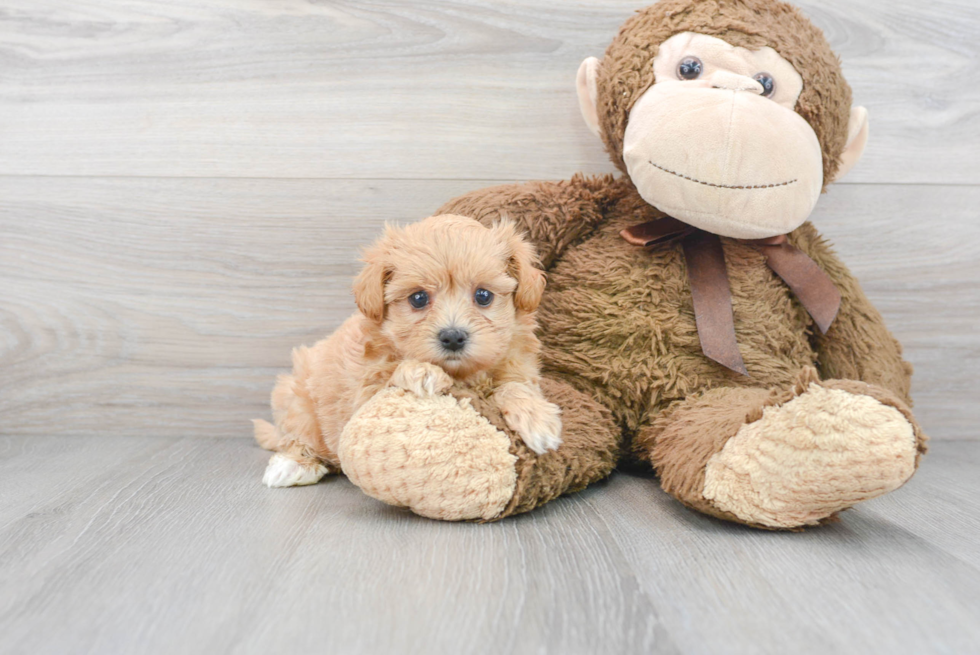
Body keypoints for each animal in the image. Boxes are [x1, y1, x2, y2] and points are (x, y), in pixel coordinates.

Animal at [253, 214, 564, 486]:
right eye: (418, 298)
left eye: (483, 295)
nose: (453, 337)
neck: (463, 375)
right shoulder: (364, 395)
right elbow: (393, 373)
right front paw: (423, 372)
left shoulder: (518, 368)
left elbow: (514, 386)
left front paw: (537, 419)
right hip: (297, 402)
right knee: (297, 439)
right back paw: (293, 465)